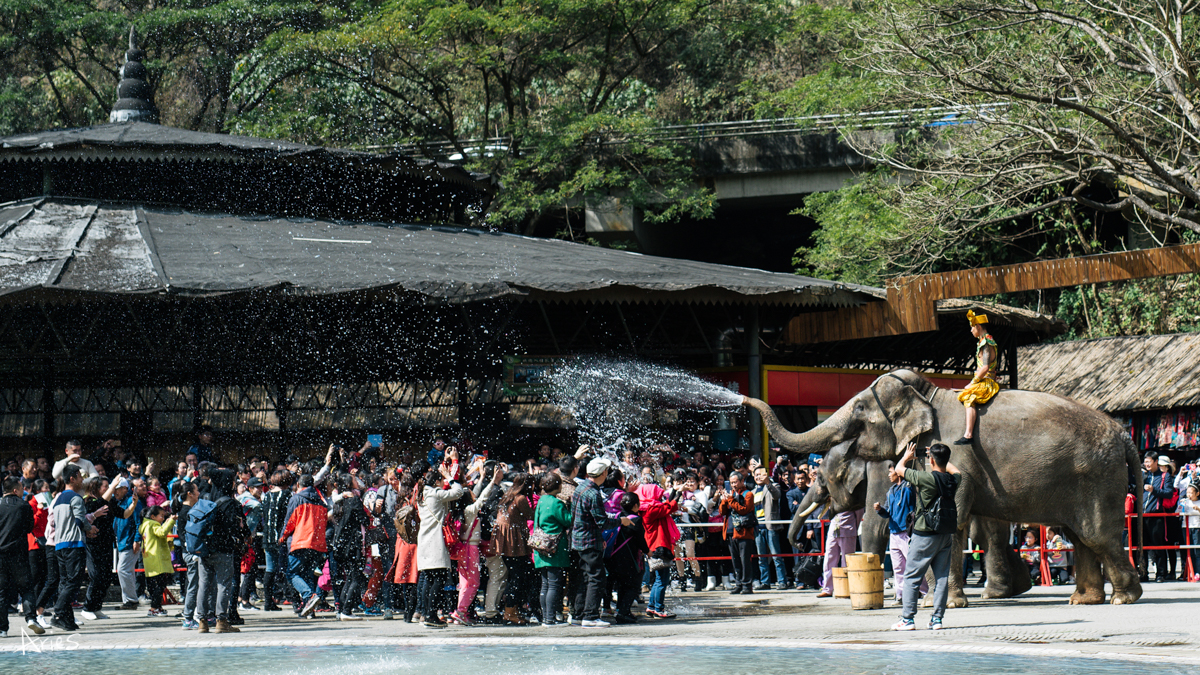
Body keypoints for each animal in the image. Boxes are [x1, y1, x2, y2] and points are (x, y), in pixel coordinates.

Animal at [787, 439, 1032, 600]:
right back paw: (1012, 589)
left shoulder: (879, 475)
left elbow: (874, 527)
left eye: (819, 477)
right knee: (990, 534)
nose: (799, 542)